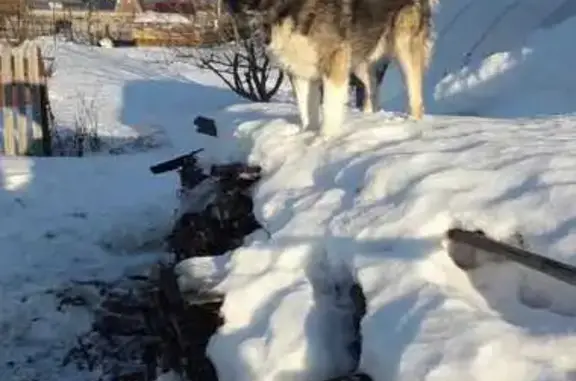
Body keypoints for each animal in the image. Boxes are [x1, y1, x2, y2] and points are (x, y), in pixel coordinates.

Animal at [227, 0, 438, 136]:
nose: (239, 7)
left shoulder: (335, 59)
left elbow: (329, 106)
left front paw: (324, 140)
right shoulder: (299, 71)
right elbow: (306, 111)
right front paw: (306, 136)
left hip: (403, 45)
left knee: (415, 96)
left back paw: (413, 124)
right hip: (358, 59)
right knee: (372, 87)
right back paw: (368, 118)